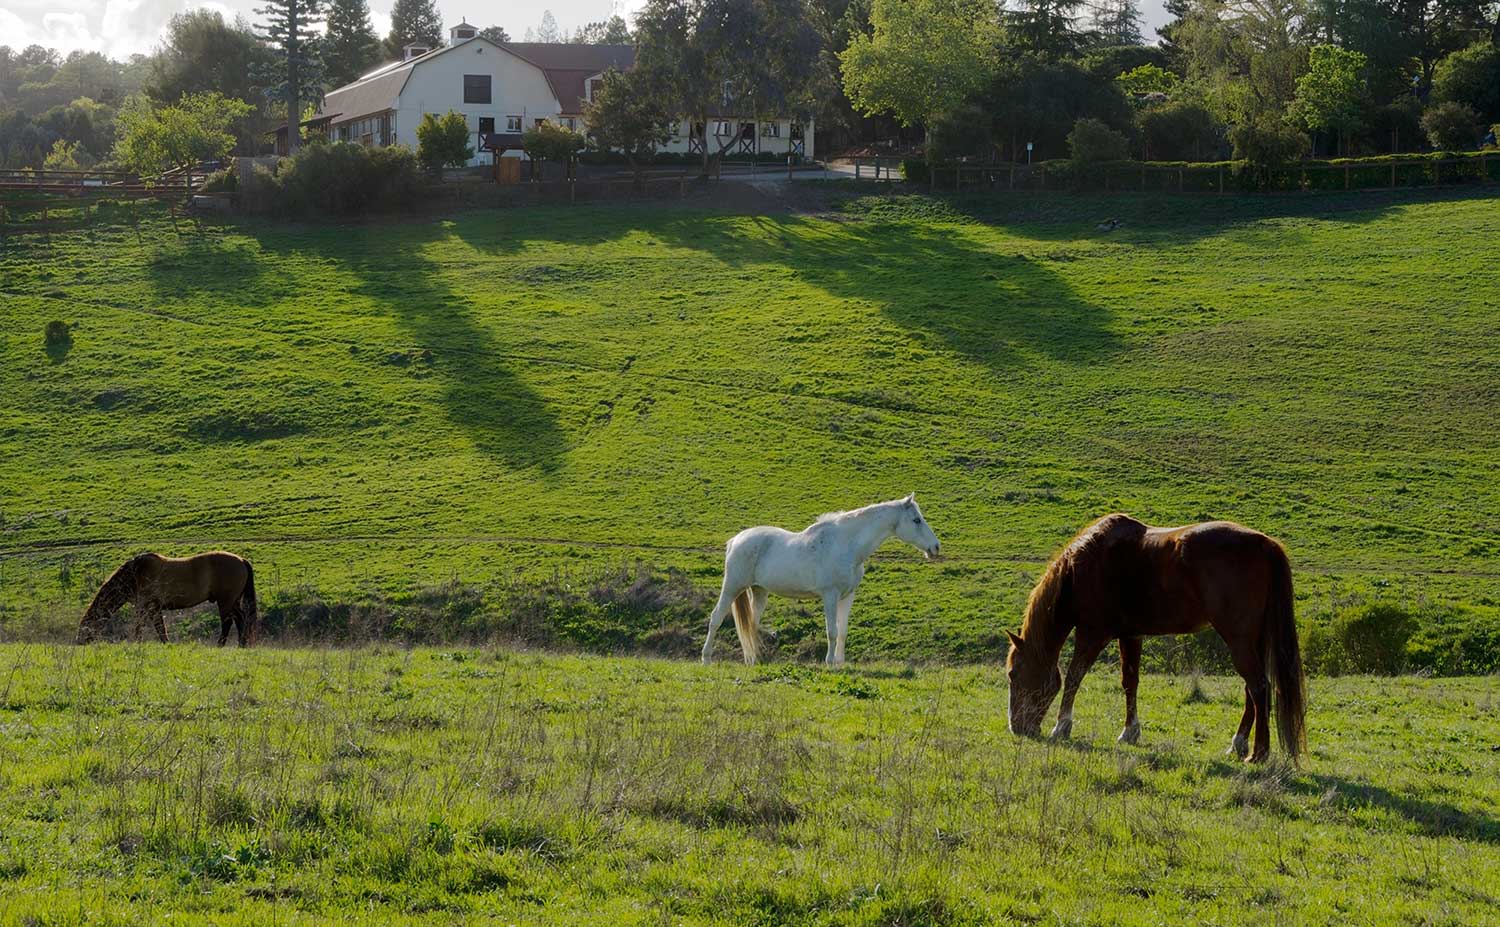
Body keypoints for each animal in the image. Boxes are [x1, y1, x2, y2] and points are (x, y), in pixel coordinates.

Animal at [78, 552, 261, 645]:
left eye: (85, 627)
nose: (78, 641)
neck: (135, 573)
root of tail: (241, 560)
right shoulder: (154, 607)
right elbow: (160, 627)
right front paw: (166, 643)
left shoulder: (145, 606)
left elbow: (141, 626)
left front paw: (136, 642)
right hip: (233, 601)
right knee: (240, 619)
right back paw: (242, 644)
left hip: (226, 602)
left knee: (228, 622)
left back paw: (221, 644)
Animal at [702, 492, 936, 663]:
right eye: (916, 520)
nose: (935, 547)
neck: (845, 545)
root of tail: (735, 540)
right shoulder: (830, 595)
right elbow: (831, 630)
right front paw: (829, 662)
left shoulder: (847, 596)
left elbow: (842, 631)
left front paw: (839, 663)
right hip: (732, 587)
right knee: (716, 618)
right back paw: (707, 659)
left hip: (759, 591)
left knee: (751, 625)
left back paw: (753, 660)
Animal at [1002, 510, 1308, 762]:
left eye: (1013, 674)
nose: (1016, 728)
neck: (1081, 569)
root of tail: (1265, 545)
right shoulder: (1131, 635)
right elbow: (1130, 681)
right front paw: (1130, 732)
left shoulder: (1092, 634)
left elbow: (1074, 676)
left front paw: (1061, 726)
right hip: (1253, 640)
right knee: (1251, 690)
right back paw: (1238, 744)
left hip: (1239, 639)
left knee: (1259, 687)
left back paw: (1258, 753)